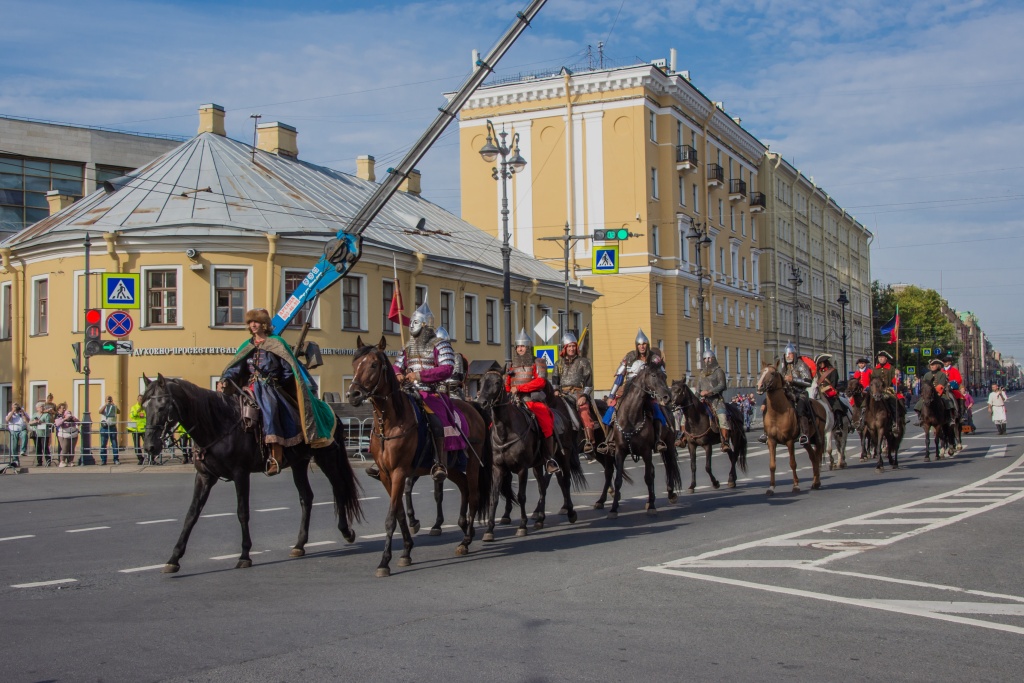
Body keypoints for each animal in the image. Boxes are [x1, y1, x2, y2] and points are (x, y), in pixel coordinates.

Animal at [140, 370, 364, 573]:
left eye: (162, 407)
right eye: (143, 407)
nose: (150, 447)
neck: (217, 424)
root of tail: (330, 411)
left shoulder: (241, 474)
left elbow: (242, 512)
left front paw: (245, 555)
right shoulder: (204, 477)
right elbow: (192, 514)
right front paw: (174, 558)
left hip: (326, 456)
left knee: (339, 487)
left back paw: (346, 531)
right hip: (299, 463)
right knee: (306, 497)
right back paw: (300, 545)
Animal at [348, 335, 491, 577]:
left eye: (374, 365)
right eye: (355, 363)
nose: (353, 395)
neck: (391, 423)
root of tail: (473, 408)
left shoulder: (399, 472)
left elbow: (391, 518)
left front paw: (384, 562)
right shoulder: (386, 475)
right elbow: (398, 513)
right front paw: (406, 551)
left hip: (472, 463)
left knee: (473, 495)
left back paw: (465, 541)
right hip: (452, 467)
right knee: (463, 488)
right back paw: (463, 528)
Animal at [473, 368, 585, 540]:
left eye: (497, 382)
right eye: (481, 382)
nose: (481, 403)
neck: (506, 431)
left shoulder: (522, 468)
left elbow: (521, 496)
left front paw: (522, 526)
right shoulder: (498, 468)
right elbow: (494, 497)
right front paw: (489, 530)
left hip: (563, 456)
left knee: (564, 481)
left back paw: (570, 512)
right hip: (539, 464)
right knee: (542, 487)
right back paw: (540, 519)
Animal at [593, 368, 679, 518]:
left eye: (664, 376)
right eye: (653, 375)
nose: (667, 398)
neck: (631, 417)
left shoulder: (646, 451)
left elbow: (648, 477)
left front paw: (652, 507)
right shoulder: (620, 452)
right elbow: (618, 480)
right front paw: (613, 509)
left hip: (668, 445)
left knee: (668, 467)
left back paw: (669, 494)